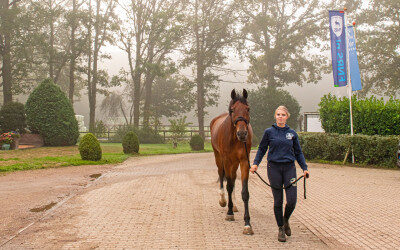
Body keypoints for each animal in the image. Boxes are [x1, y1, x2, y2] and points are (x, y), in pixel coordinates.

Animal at [209, 88, 253, 234]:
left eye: (248, 108)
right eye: (233, 110)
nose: (242, 134)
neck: (234, 138)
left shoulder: (244, 161)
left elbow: (244, 192)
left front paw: (247, 224)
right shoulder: (227, 160)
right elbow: (228, 185)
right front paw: (229, 213)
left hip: (235, 163)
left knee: (232, 178)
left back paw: (233, 204)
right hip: (218, 157)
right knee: (222, 175)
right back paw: (223, 201)